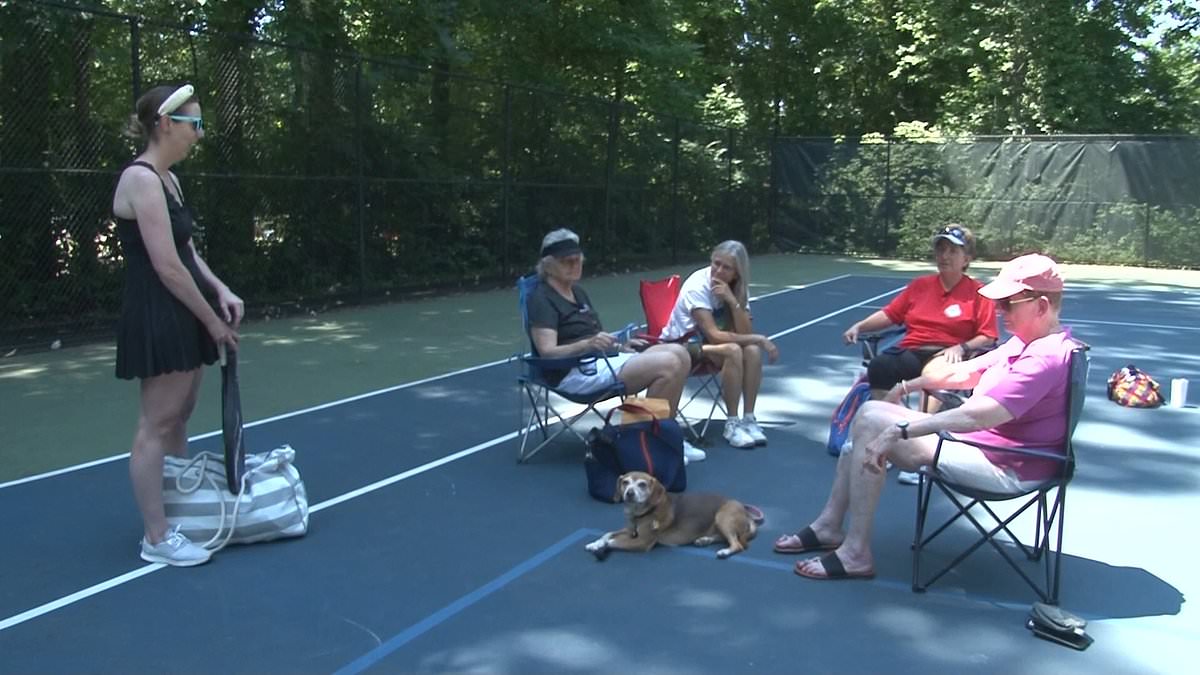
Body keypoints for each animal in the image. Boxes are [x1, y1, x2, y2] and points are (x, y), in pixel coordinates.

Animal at [583, 468, 758, 557]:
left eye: (642, 484)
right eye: (625, 482)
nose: (629, 493)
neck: (639, 514)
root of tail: (745, 512)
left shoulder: (642, 542)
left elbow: (612, 541)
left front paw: (601, 547)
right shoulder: (629, 530)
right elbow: (607, 534)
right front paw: (595, 543)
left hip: (722, 517)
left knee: (737, 544)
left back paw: (724, 551)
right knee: (723, 537)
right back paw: (704, 540)